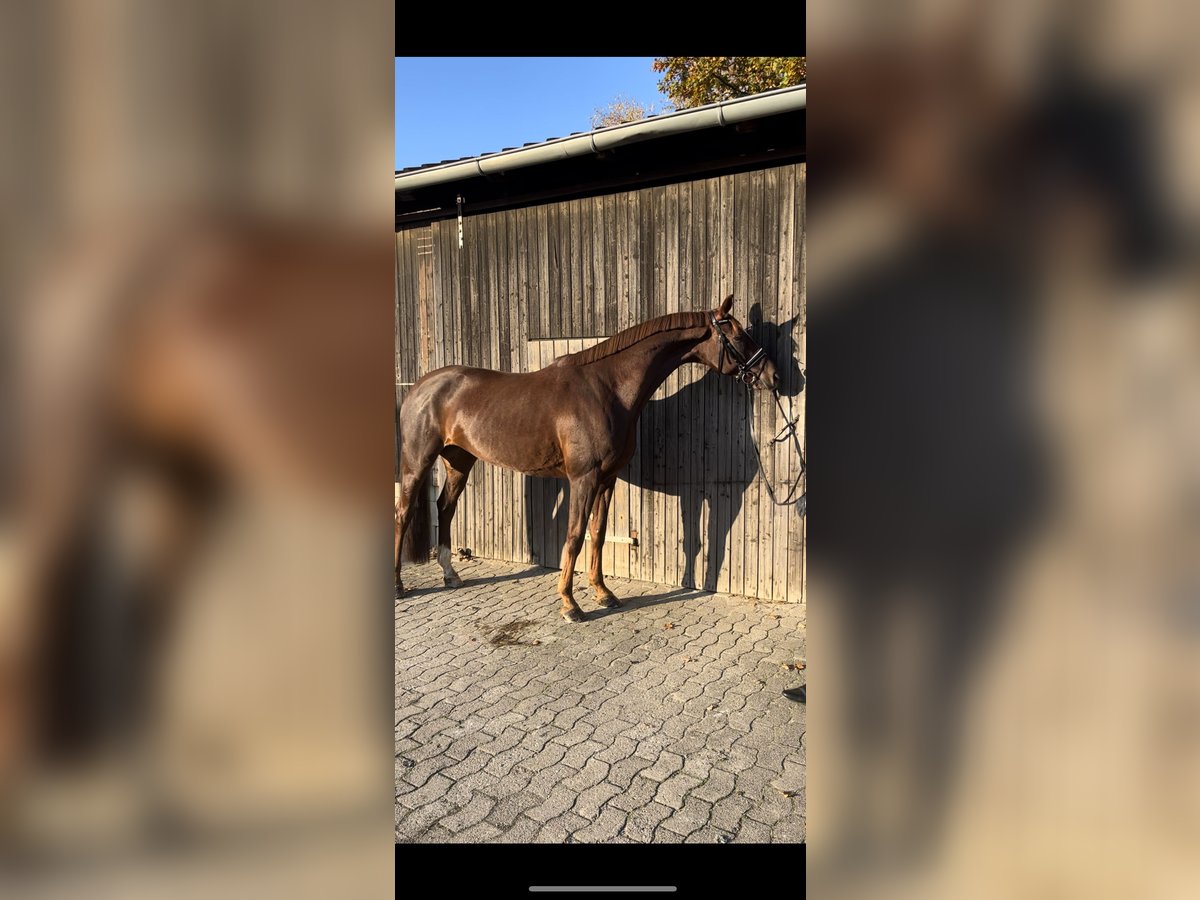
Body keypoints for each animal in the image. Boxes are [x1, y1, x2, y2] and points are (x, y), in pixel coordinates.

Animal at [393, 294, 777, 619]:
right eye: (739, 335)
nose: (773, 376)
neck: (607, 388)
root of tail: (418, 387)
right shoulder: (584, 478)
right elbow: (575, 535)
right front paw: (569, 603)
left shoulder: (606, 479)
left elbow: (599, 532)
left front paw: (603, 593)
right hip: (417, 462)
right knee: (404, 511)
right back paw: (398, 585)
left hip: (458, 461)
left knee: (445, 508)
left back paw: (450, 574)